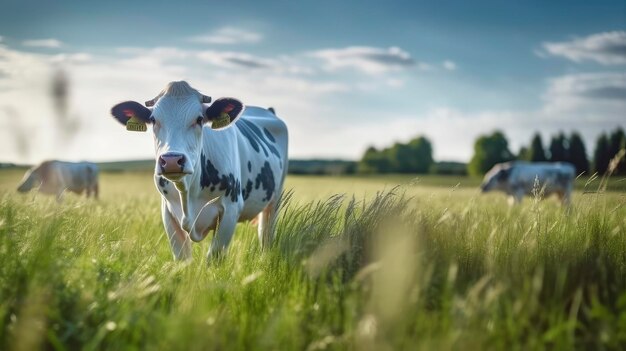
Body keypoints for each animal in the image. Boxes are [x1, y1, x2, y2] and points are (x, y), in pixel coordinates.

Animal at [109, 80, 288, 262]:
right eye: (153, 119)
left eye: (200, 119)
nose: (172, 160)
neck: (188, 193)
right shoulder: (167, 211)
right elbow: (182, 258)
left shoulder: (231, 209)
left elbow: (214, 257)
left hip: (275, 201)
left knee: (266, 236)